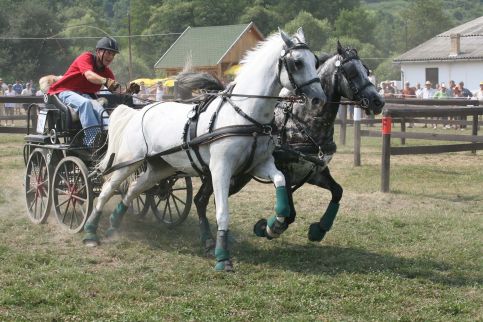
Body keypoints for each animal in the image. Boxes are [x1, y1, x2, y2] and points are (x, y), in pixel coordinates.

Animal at [83, 27, 328, 270]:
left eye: (315, 60)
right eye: (297, 62)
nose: (319, 99)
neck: (245, 115)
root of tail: (139, 111)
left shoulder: (257, 165)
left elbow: (280, 180)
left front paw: (273, 225)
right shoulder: (220, 169)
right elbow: (222, 212)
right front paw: (222, 256)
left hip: (160, 167)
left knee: (134, 188)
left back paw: (113, 225)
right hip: (129, 161)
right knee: (107, 189)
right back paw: (90, 233)